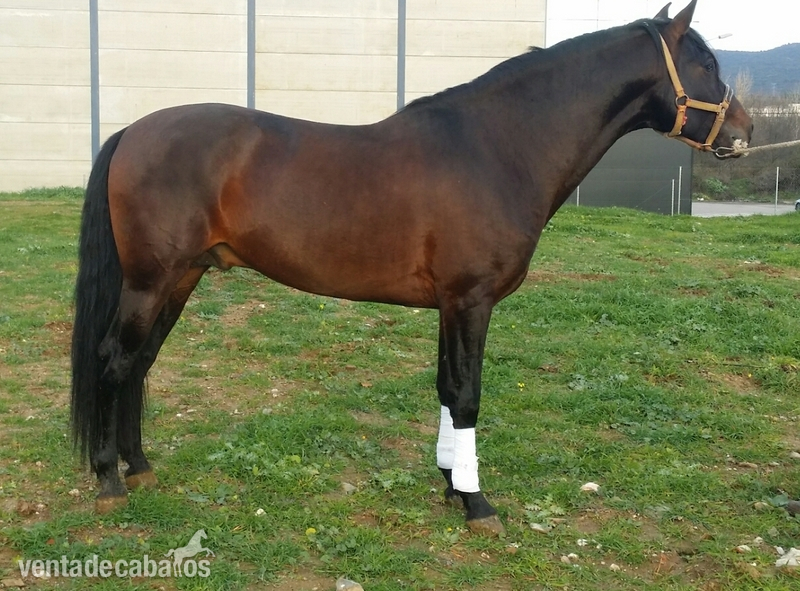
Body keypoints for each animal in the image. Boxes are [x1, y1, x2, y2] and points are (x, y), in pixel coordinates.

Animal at [71, 0, 752, 536]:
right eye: (705, 63)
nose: (743, 131)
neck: (498, 147)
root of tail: (132, 131)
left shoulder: (453, 305)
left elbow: (448, 390)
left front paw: (452, 483)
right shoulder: (471, 300)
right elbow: (468, 395)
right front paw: (477, 504)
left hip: (180, 279)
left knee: (138, 365)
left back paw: (140, 466)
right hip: (150, 281)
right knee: (114, 362)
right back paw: (109, 481)